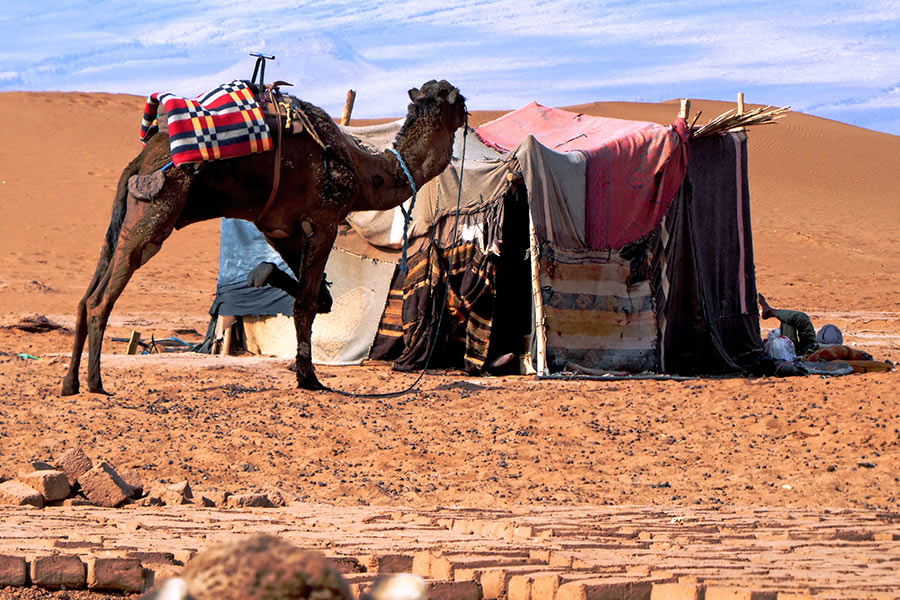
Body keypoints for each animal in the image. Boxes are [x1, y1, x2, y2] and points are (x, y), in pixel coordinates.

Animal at [62, 81, 468, 398]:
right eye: (460, 100)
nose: (467, 116)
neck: (366, 173)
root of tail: (141, 159)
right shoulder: (324, 219)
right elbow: (307, 303)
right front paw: (309, 379)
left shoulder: (279, 229)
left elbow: (319, 298)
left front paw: (262, 275)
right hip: (156, 209)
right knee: (102, 297)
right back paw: (96, 385)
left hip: (124, 216)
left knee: (87, 294)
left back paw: (70, 384)